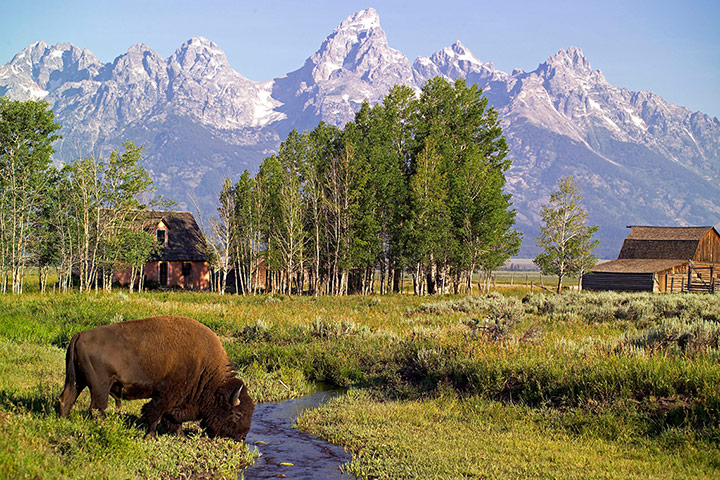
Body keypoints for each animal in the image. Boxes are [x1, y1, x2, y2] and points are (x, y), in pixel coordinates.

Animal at [58, 315, 254, 440]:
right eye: (237, 413)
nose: (242, 436)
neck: (205, 369)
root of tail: (80, 335)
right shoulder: (166, 395)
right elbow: (155, 414)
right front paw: (150, 436)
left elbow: (172, 419)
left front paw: (181, 436)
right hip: (100, 387)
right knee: (97, 408)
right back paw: (104, 427)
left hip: (77, 381)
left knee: (66, 399)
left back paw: (64, 420)